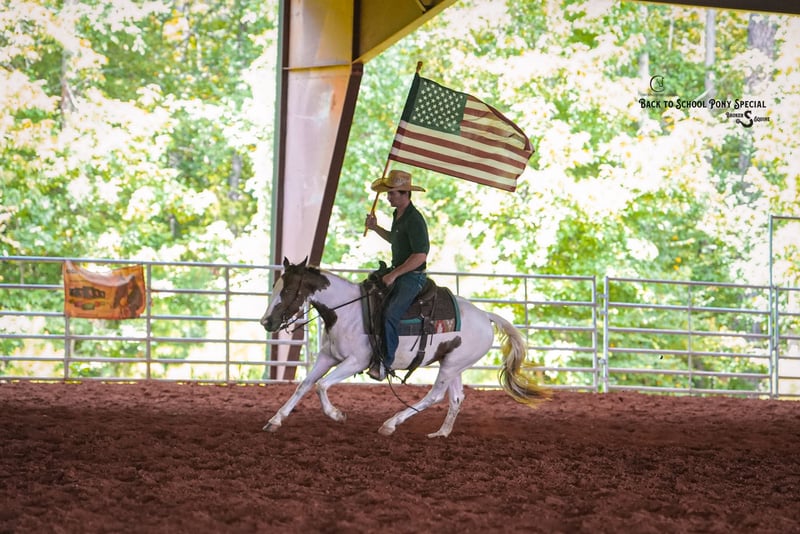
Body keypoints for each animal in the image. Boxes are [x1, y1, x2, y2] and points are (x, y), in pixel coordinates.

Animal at [259, 258, 549, 438]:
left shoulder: (356, 361)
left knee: (434, 396)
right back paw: (441, 433)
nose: (266, 322)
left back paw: (390, 424)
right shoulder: (328, 356)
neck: (347, 312)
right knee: (456, 398)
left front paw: (337, 415)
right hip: (453, 363)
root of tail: (485, 316)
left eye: (287, 292)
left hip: (451, 366)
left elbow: (322, 385)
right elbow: (305, 384)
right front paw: (275, 420)